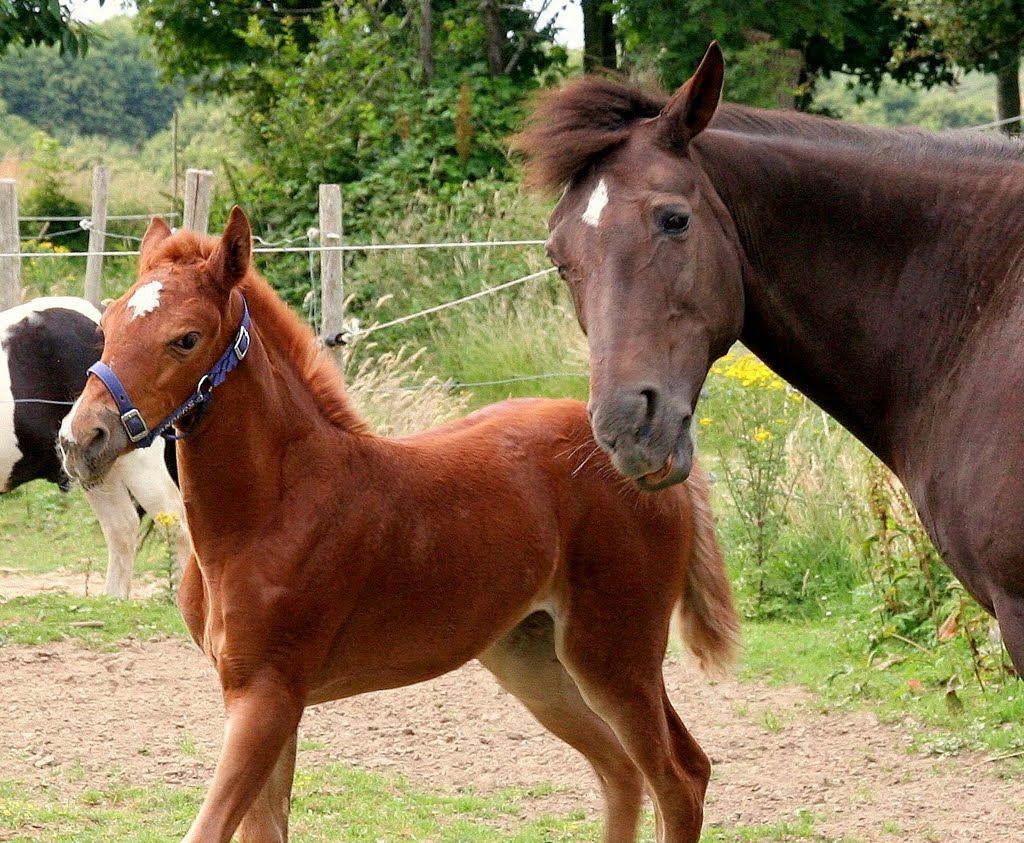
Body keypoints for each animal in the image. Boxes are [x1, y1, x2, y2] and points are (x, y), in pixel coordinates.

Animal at [58, 205, 737, 843]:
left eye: (186, 339)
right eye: (107, 328)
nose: (80, 438)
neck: (267, 513)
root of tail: (654, 463)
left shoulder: (267, 693)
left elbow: (210, 829)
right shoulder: (254, 696)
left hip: (616, 654)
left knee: (680, 777)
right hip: (535, 657)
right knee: (620, 771)